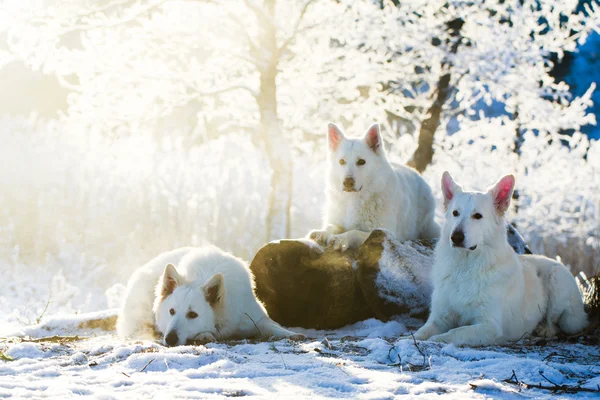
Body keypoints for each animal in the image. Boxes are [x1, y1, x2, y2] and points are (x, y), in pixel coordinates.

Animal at [116, 245, 304, 346]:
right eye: (171, 311)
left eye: (193, 314)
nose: (170, 339)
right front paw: (204, 335)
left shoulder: (252, 317)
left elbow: (271, 326)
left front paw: (290, 334)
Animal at [310, 123, 440, 252]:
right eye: (341, 161)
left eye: (361, 162)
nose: (347, 182)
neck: (354, 199)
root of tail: (415, 172)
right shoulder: (336, 221)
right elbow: (331, 226)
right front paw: (322, 233)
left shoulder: (386, 233)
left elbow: (354, 232)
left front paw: (341, 238)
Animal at [414, 172, 588, 346]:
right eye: (455, 213)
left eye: (477, 216)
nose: (455, 237)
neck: (466, 266)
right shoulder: (439, 318)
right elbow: (421, 331)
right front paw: (413, 338)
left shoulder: (489, 325)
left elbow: (456, 332)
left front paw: (437, 339)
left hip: (557, 283)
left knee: (555, 324)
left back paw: (543, 330)